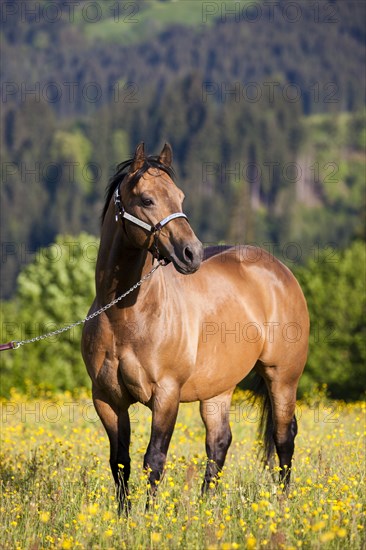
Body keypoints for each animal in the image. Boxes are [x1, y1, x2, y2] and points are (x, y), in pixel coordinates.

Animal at [81, 142, 308, 512]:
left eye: (180, 197)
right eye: (147, 199)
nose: (192, 253)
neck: (123, 316)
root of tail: (280, 272)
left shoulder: (166, 394)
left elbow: (154, 459)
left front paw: (148, 518)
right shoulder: (107, 399)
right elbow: (120, 462)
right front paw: (123, 516)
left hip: (283, 378)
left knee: (283, 437)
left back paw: (283, 505)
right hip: (218, 388)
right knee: (219, 442)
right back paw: (206, 508)